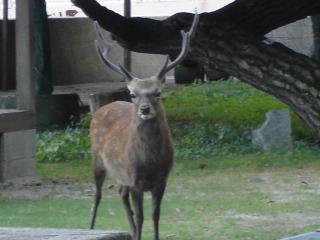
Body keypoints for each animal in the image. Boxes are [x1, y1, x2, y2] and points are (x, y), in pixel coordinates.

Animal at [90, 13, 199, 240]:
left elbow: (155, 215)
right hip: (96, 157)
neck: (150, 161)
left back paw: (130, 232)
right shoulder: (135, 180)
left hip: (121, 175)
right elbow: (141, 216)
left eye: (157, 92)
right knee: (97, 195)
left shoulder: (162, 180)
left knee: (120, 193)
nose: (145, 109)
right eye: (133, 94)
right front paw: (139, 231)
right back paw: (91, 228)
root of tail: (102, 107)